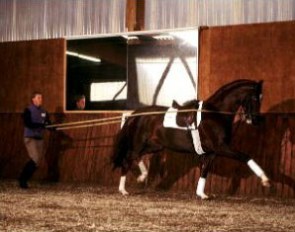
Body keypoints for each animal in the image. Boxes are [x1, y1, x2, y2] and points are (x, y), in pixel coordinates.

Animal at [112, 80, 272, 199]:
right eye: (255, 98)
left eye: (262, 98)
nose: (256, 120)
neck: (214, 114)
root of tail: (136, 114)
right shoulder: (221, 147)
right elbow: (246, 157)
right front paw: (265, 179)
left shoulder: (211, 153)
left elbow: (204, 170)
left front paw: (201, 194)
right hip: (140, 142)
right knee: (128, 158)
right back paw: (123, 190)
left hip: (154, 145)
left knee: (135, 156)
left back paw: (141, 177)